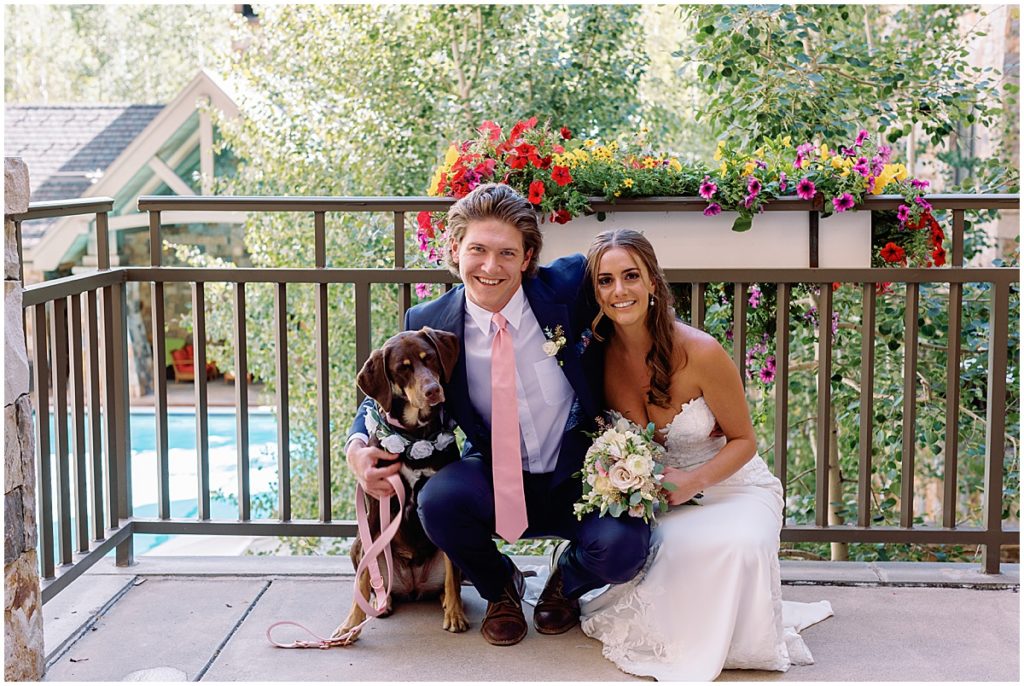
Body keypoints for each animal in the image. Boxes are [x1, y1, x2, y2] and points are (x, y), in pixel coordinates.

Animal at [331, 327, 468, 647]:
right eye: (402, 369)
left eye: (429, 358)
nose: (432, 390)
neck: (414, 436)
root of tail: (413, 586)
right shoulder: (376, 506)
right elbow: (363, 579)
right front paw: (351, 625)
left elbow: (451, 574)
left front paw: (455, 614)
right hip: (358, 544)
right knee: (373, 579)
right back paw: (382, 602)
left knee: (450, 578)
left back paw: (447, 600)